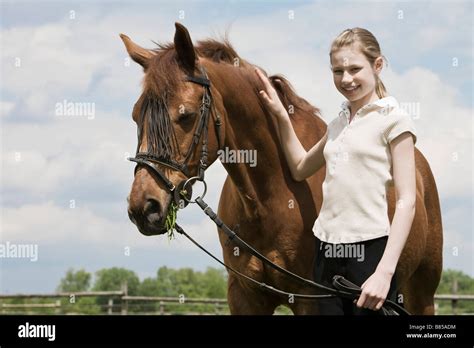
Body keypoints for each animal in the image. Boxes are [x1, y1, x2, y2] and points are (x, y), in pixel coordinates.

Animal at [124, 22, 442, 316]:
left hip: (421, 293)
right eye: (136, 115)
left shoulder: (308, 298)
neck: (269, 197)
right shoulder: (244, 295)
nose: (144, 207)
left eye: (186, 115)